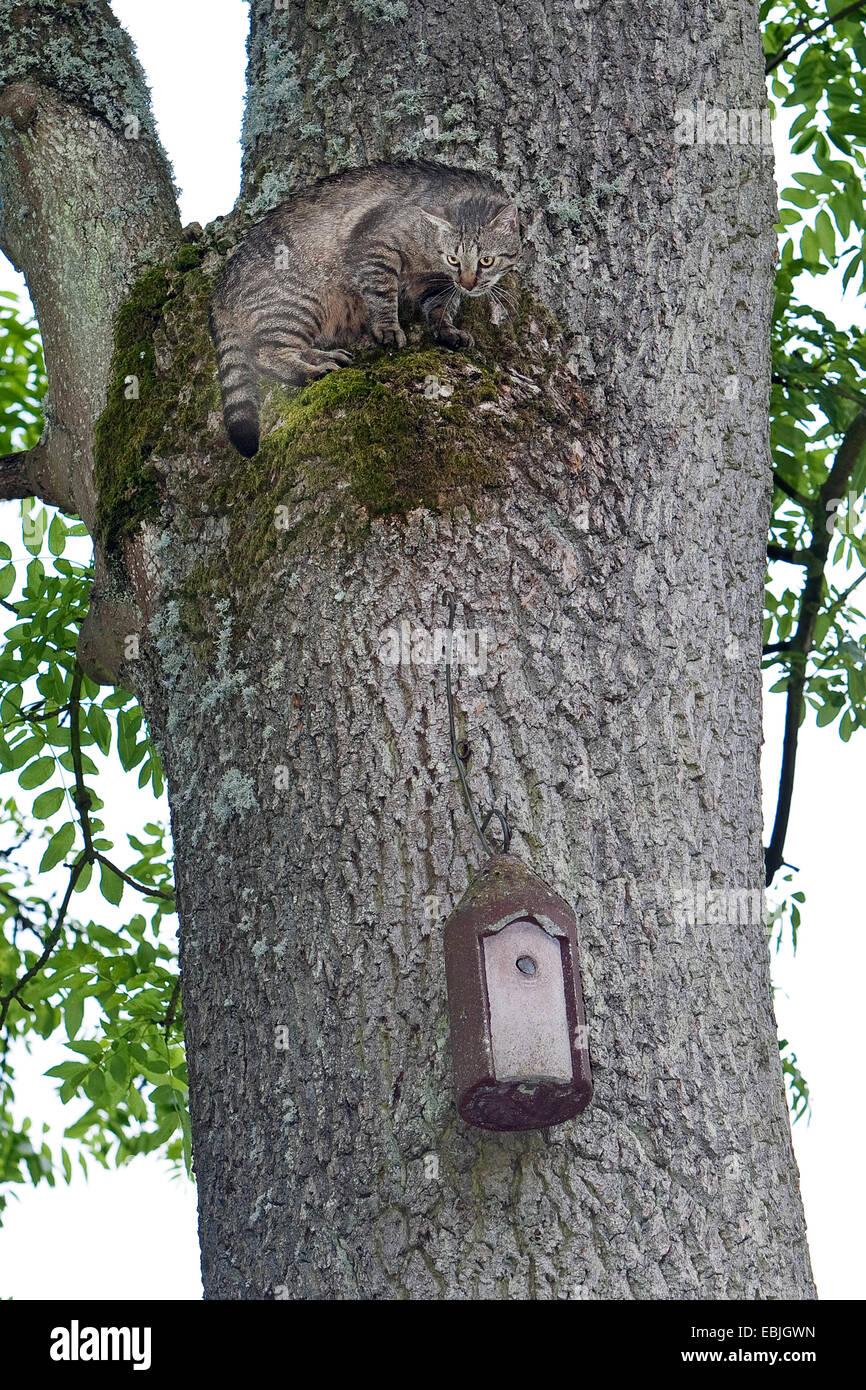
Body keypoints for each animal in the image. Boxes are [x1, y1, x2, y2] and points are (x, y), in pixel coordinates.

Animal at [209, 160, 522, 455]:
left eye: (486, 260)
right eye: (454, 259)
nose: (469, 284)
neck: (431, 254)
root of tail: (221, 287)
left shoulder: (435, 282)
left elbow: (441, 308)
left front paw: (447, 331)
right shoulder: (376, 249)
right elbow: (382, 293)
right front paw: (388, 328)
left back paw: (325, 357)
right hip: (296, 303)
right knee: (266, 354)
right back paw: (313, 371)